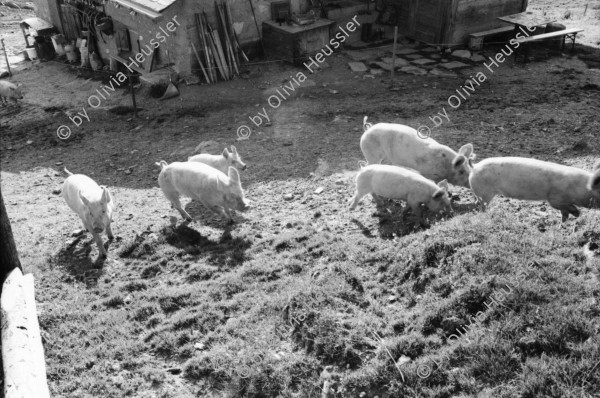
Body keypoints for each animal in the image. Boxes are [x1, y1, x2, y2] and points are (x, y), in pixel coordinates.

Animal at [468, 158, 600, 221]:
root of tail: (474, 166)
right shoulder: (555, 199)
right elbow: (568, 210)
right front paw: (578, 214)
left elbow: (564, 214)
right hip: (485, 193)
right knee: (481, 206)